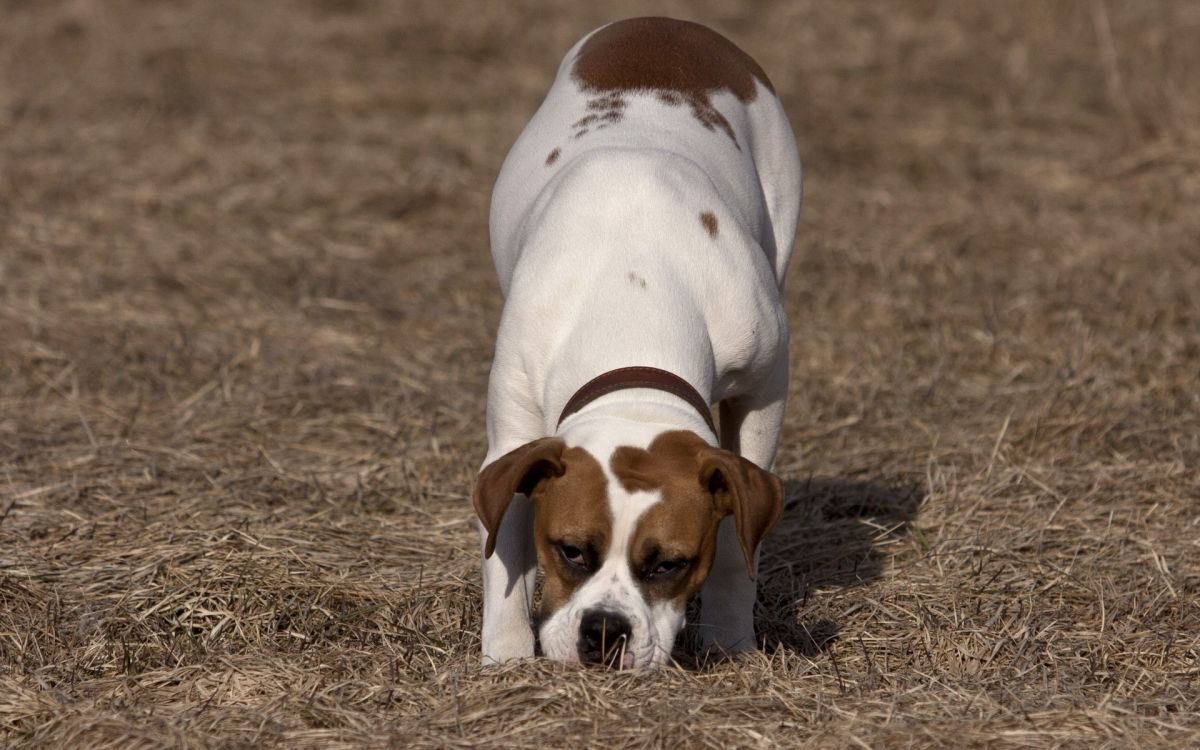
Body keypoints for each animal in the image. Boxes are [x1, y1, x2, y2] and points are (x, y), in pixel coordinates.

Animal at [472, 16, 801, 667]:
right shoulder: (513, 438)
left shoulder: (763, 391)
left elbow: (737, 549)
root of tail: (665, 24)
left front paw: (730, 641)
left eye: (669, 563)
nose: (604, 631)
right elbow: (505, 554)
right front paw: (506, 659)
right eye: (571, 550)